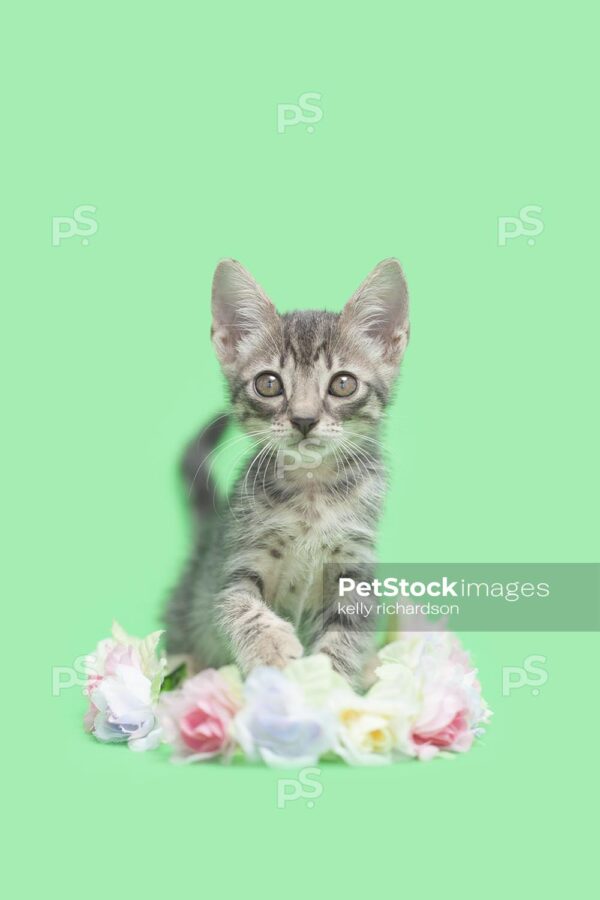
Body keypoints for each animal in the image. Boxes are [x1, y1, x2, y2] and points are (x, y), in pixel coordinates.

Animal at [164, 256, 408, 684]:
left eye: (343, 384)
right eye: (269, 384)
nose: (304, 419)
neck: (312, 492)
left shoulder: (354, 566)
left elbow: (347, 633)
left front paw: (329, 682)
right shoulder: (238, 560)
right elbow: (234, 603)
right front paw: (271, 649)